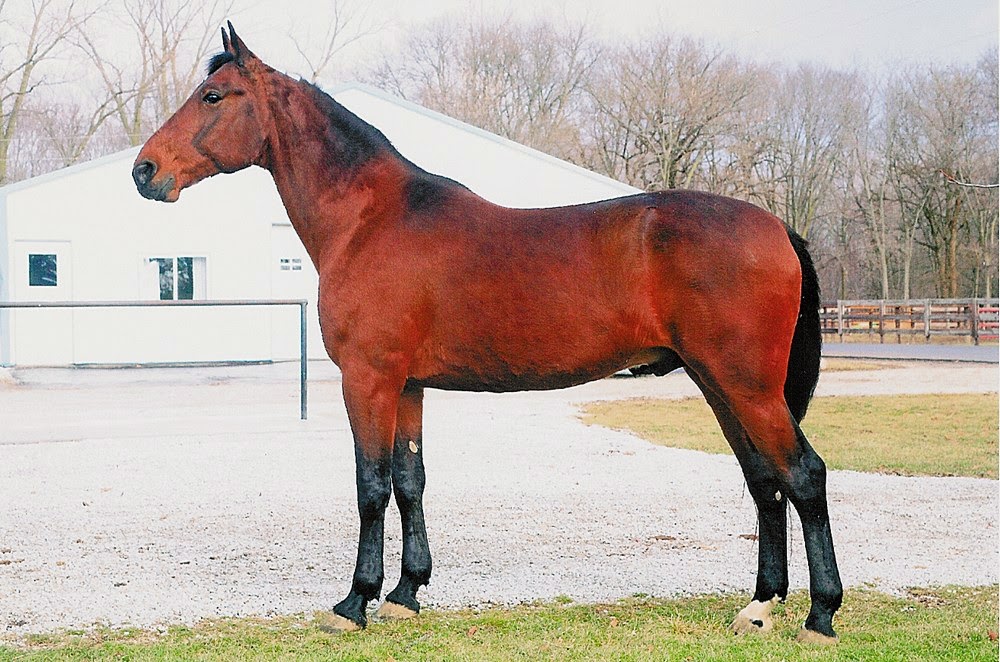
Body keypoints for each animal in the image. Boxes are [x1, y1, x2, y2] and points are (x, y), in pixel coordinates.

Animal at [133, 23, 843, 643]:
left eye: (214, 96)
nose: (144, 171)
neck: (370, 221)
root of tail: (777, 227)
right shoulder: (408, 386)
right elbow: (409, 481)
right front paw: (406, 594)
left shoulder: (368, 380)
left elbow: (370, 486)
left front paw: (355, 602)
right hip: (719, 384)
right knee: (764, 480)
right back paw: (759, 607)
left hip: (746, 386)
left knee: (803, 474)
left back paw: (820, 615)